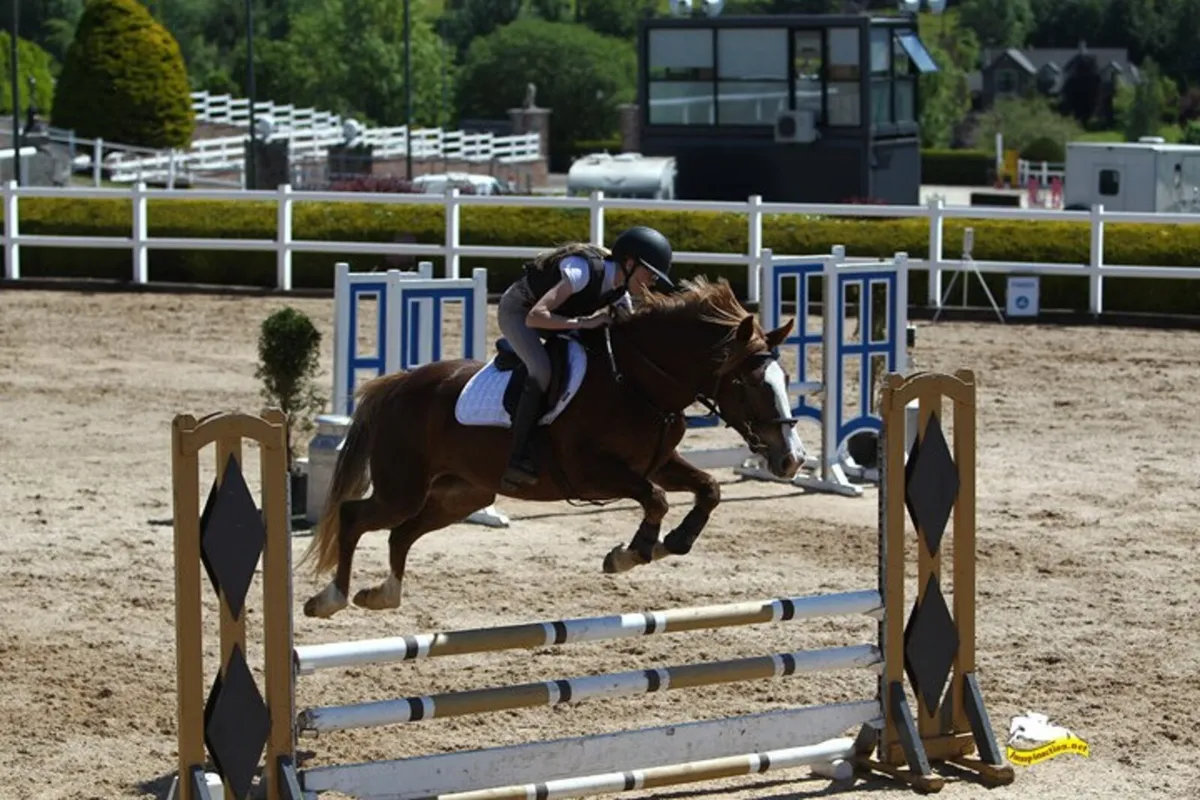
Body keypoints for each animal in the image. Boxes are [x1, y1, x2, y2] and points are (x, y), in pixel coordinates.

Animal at [301, 276, 806, 619]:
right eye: (749, 384)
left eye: (783, 378)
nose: (792, 459)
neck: (638, 381)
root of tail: (396, 385)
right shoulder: (591, 472)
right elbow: (656, 499)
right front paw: (631, 553)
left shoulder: (657, 462)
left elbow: (707, 490)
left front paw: (669, 544)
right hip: (403, 488)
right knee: (354, 517)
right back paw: (331, 599)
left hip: (462, 493)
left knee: (401, 534)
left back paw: (383, 594)